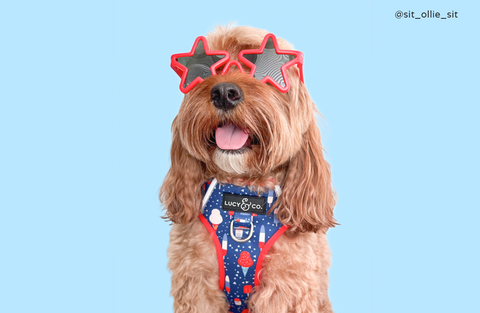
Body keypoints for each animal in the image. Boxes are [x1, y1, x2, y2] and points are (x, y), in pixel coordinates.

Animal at [159, 25, 336, 312]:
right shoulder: (196, 284)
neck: (243, 195)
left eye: (261, 68)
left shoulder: (284, 289)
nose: (223, 93)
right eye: (206, 67)